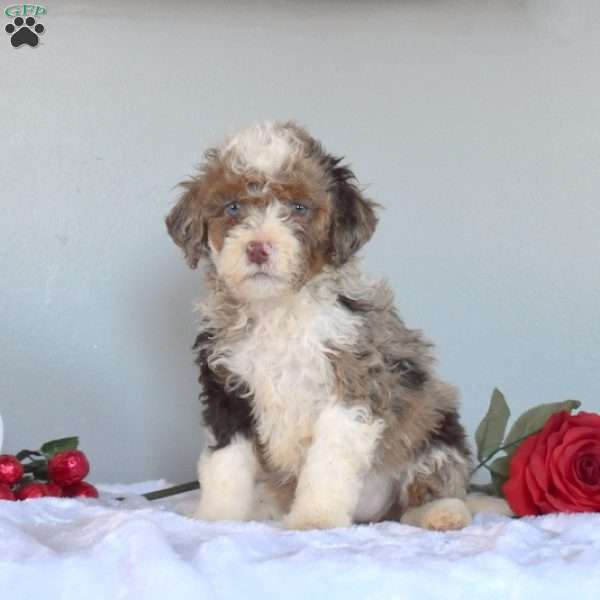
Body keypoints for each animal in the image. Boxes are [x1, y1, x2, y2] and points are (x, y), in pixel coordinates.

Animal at [166, 120, 500, 528]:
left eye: (299, 207)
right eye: (232, 207)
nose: (258, 247)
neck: (278, 309)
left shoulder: (352, 383)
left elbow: (327, 463)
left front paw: (315, 520)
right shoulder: (226, 392)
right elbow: (224, 465)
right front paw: (217, 518)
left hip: (435, 426)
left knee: (433, 483)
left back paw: (443, 513)